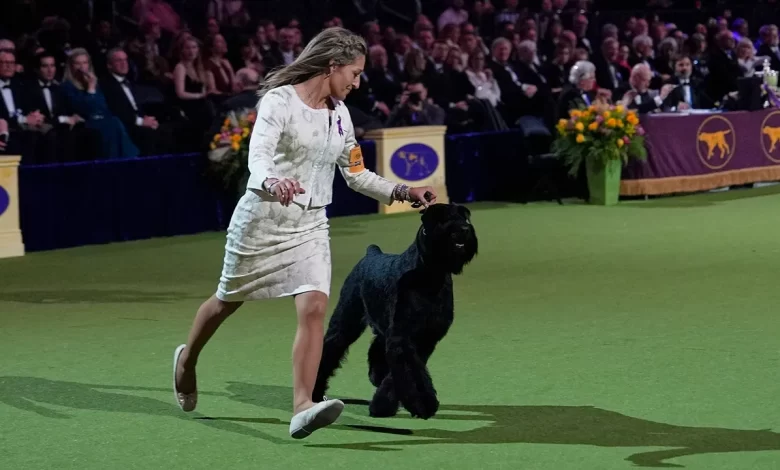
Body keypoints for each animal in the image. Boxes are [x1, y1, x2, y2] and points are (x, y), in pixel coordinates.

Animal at [314, 202, 478, 418]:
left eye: (465, 218)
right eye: (443, 218)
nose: (464, 230)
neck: (429, 275)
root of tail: (372, 252)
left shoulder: (426, 337)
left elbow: (406, 373)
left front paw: (384, 404)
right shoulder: (403, 337)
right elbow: (411, 374)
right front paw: (421, 404)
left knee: (376, 346)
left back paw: (376, 375)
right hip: (346, 319)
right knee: (331, 348)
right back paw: (315, 392)